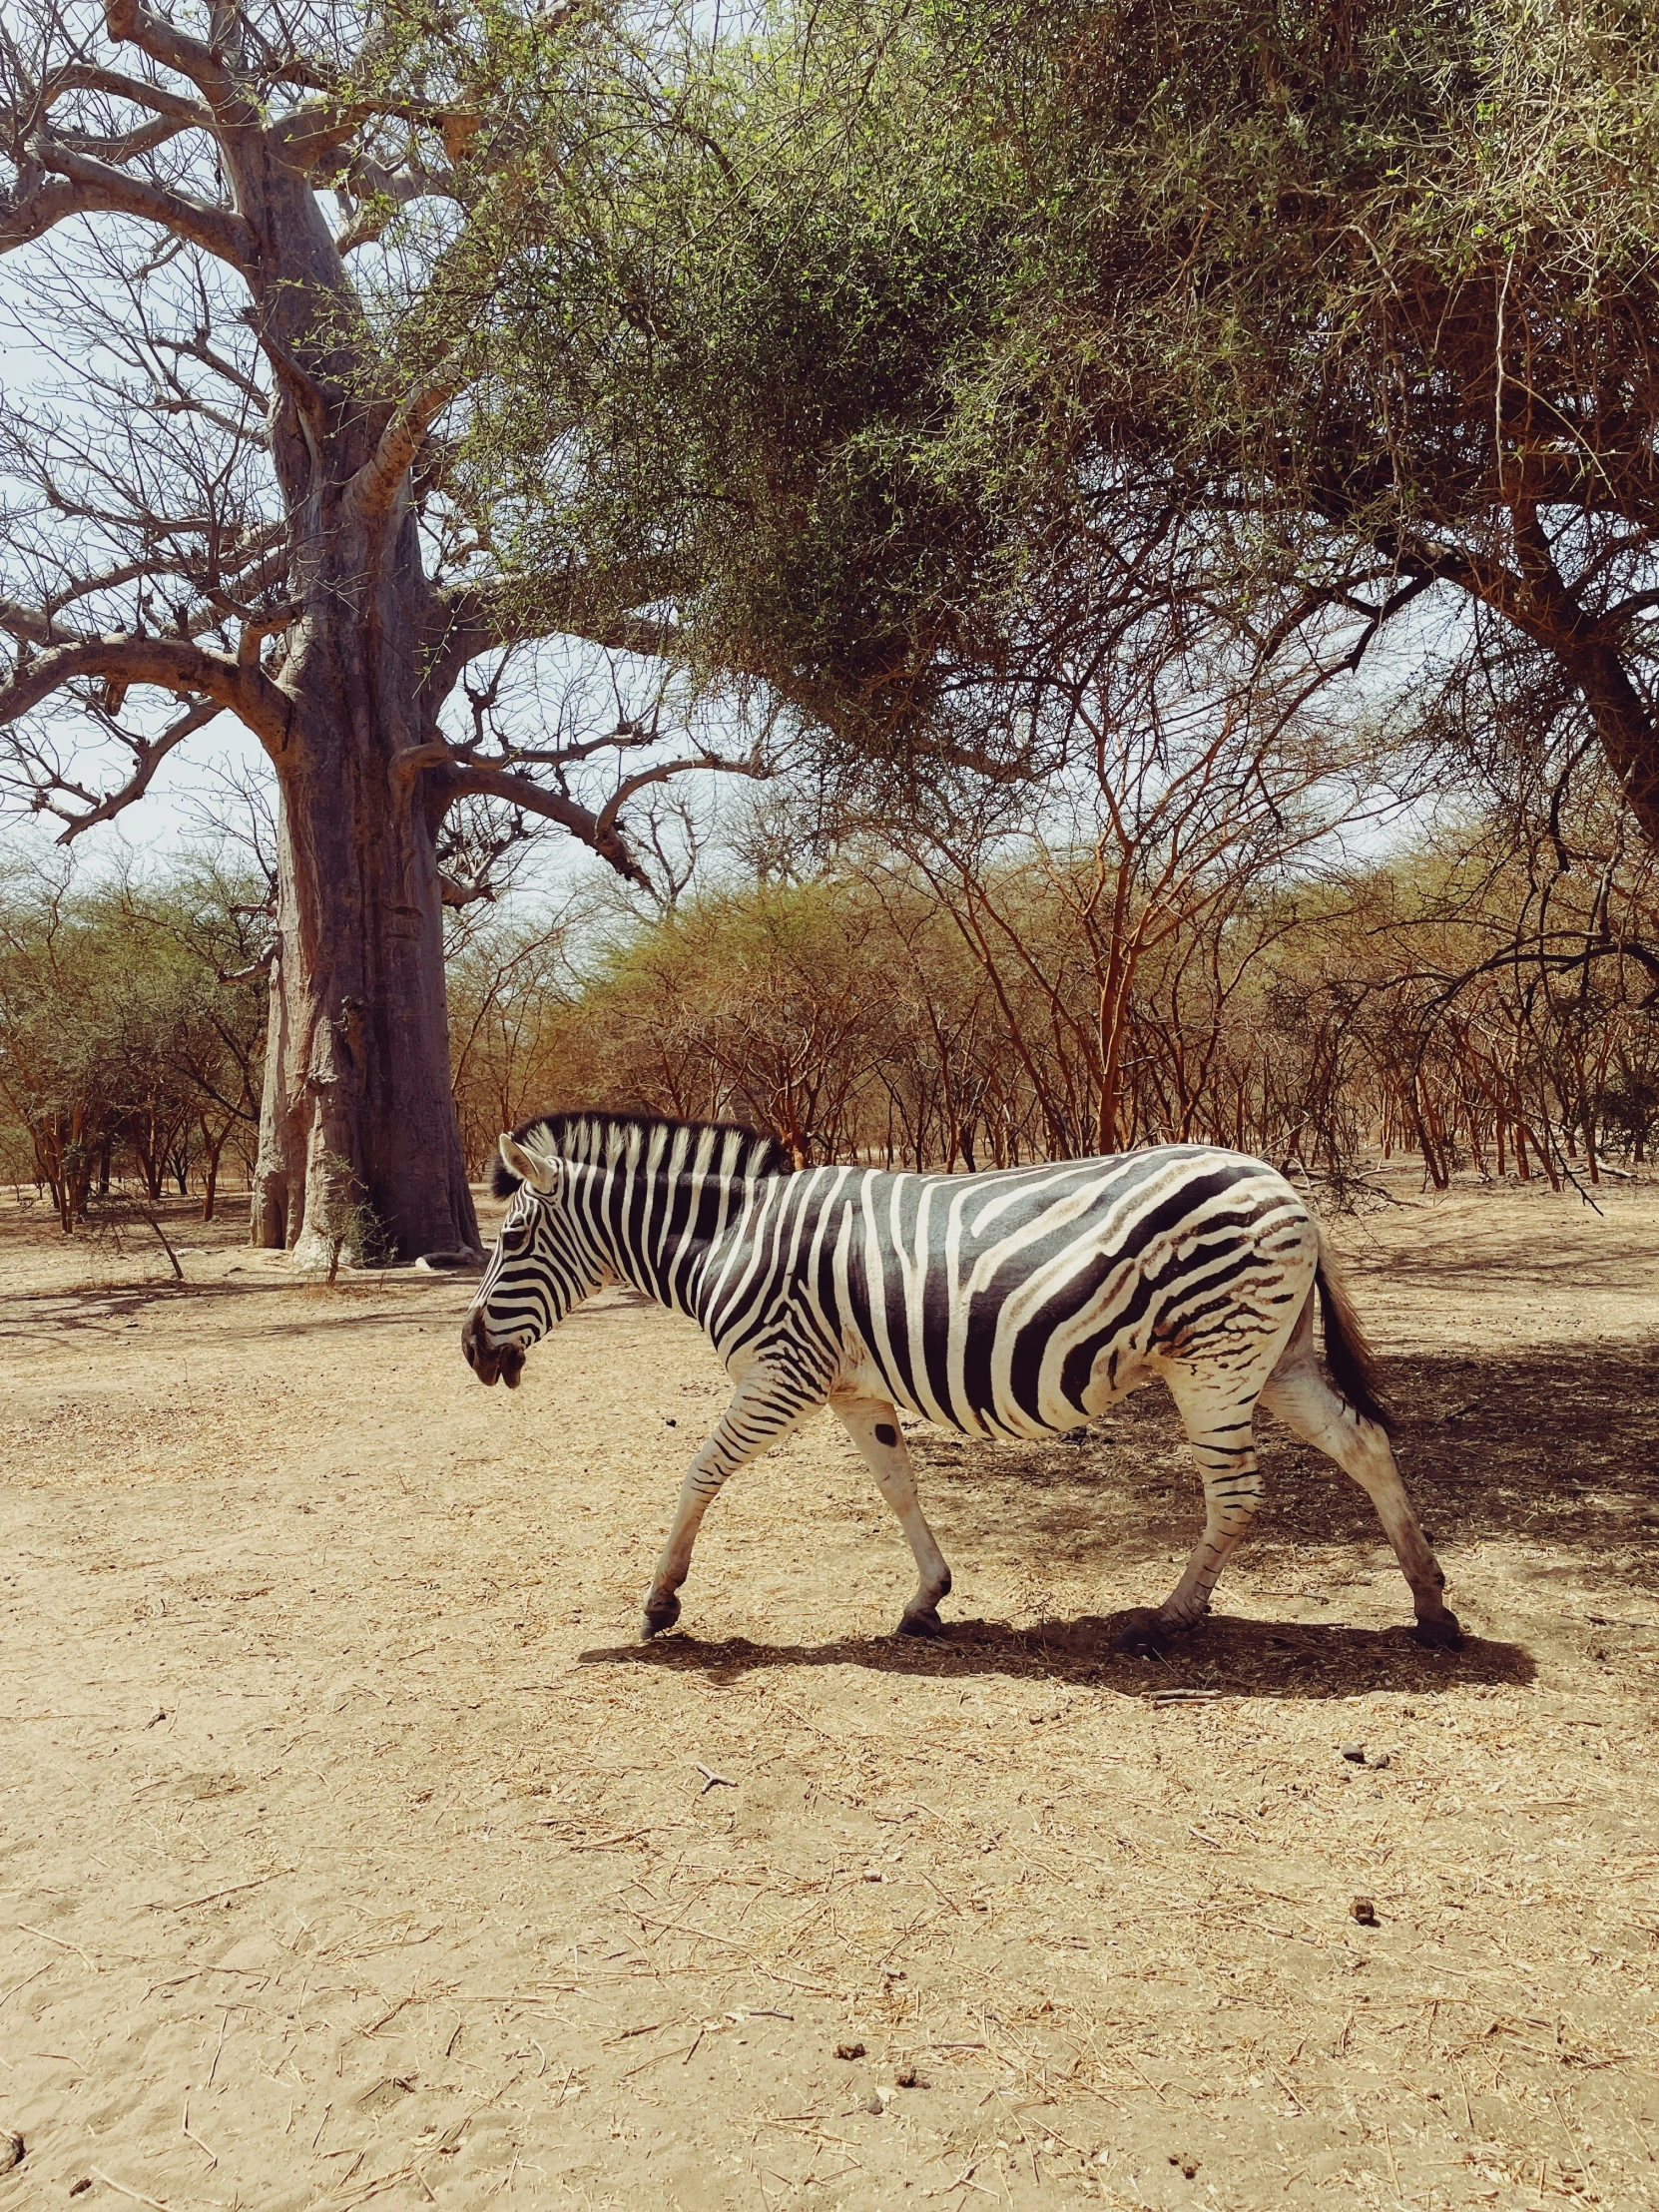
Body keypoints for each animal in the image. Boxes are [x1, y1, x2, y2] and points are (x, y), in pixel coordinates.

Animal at [462, 1114, 1459, 1654]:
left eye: (510, 1241)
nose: (470, 1351)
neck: (732, 1238)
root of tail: (1285, 1186)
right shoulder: (853, 1389)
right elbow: (899, 1488)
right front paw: (928, 1597)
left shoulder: (780, 1374)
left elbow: (698, 1473)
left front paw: (661, 1600)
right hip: (1272, 1358)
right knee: (1365, 1444)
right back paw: (1430, 1603)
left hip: (1213, 1363)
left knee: (1239, 1494)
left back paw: (1167, 1617)